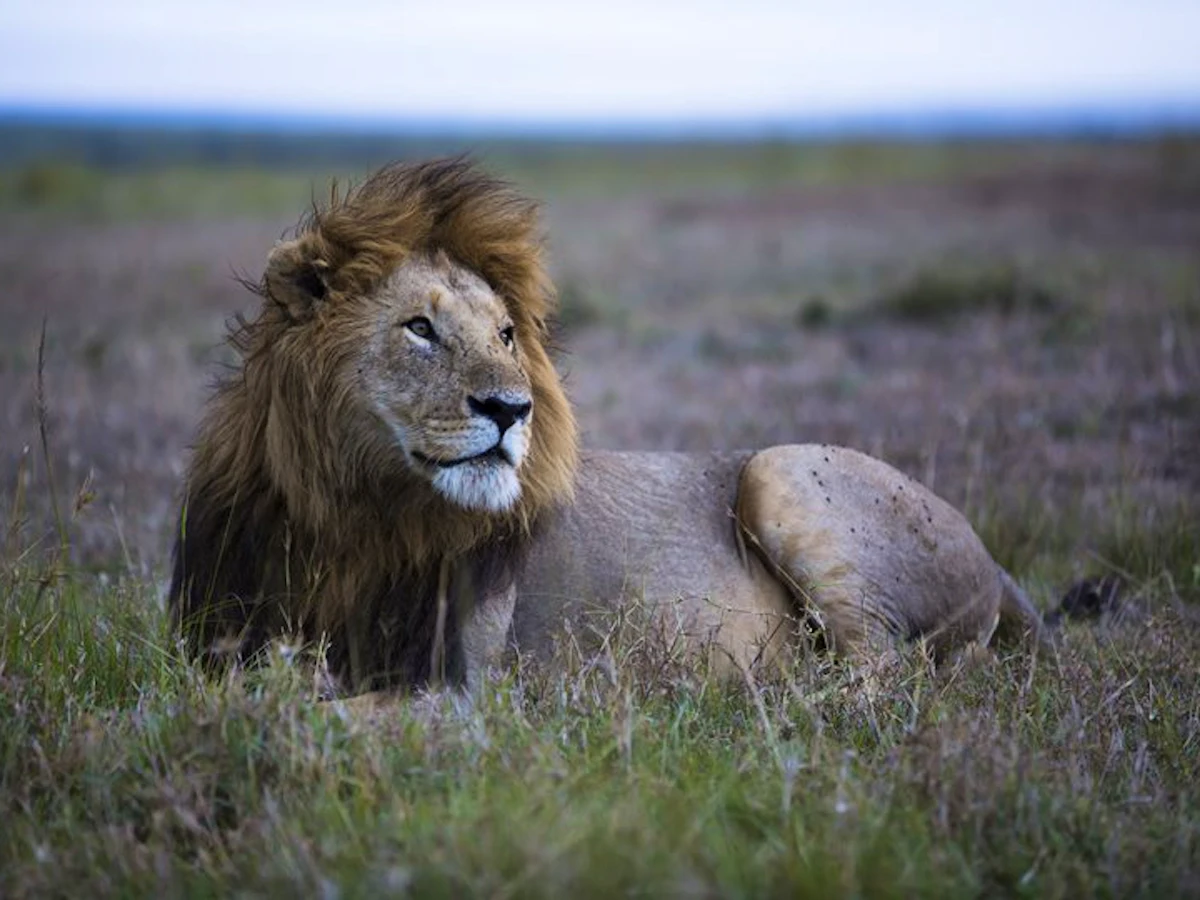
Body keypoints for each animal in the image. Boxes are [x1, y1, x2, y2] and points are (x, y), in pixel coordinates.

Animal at [169, 157, 1048, 694]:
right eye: (420, 328)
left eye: (506, 335)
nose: (511, 409)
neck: (346, 518)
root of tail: (996, 561)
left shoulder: (455, 694)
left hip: (781, 473)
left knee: (888, 676)